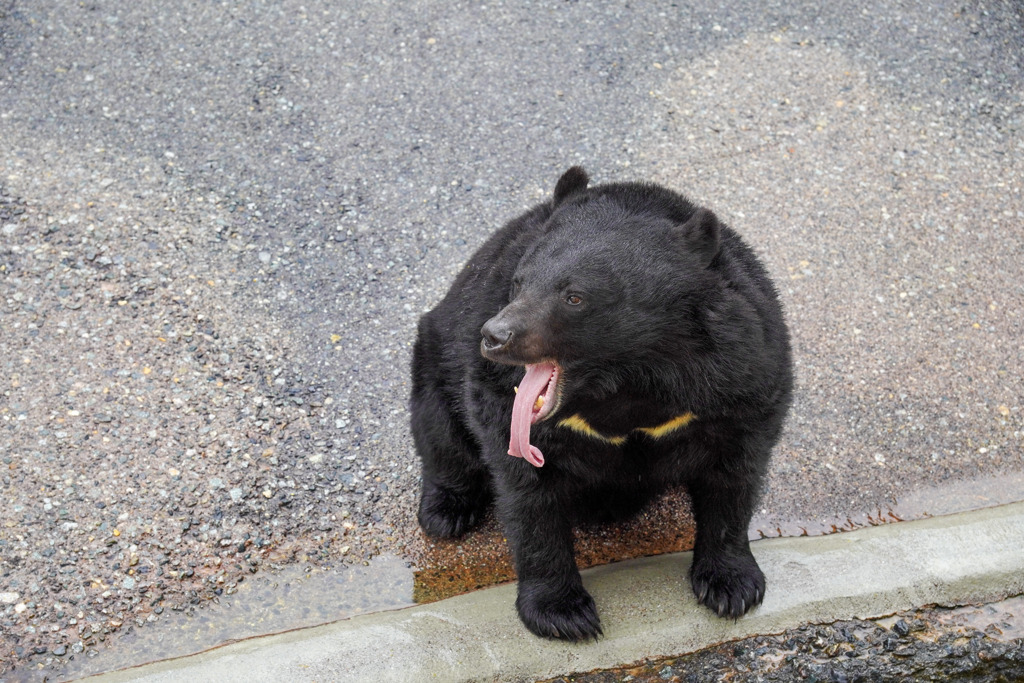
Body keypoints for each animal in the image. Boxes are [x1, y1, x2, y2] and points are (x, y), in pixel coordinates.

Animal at [411, 165, 794, 643]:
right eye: (518, 282)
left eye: (574, 296)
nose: (495, 336)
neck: (625, 381)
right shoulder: (498, 395)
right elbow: (527, 492)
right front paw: (562, 613)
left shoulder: (742, 373)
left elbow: (735, 473)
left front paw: (732, 587)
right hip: (435, 361)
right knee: (441, 438)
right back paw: (447, 512)